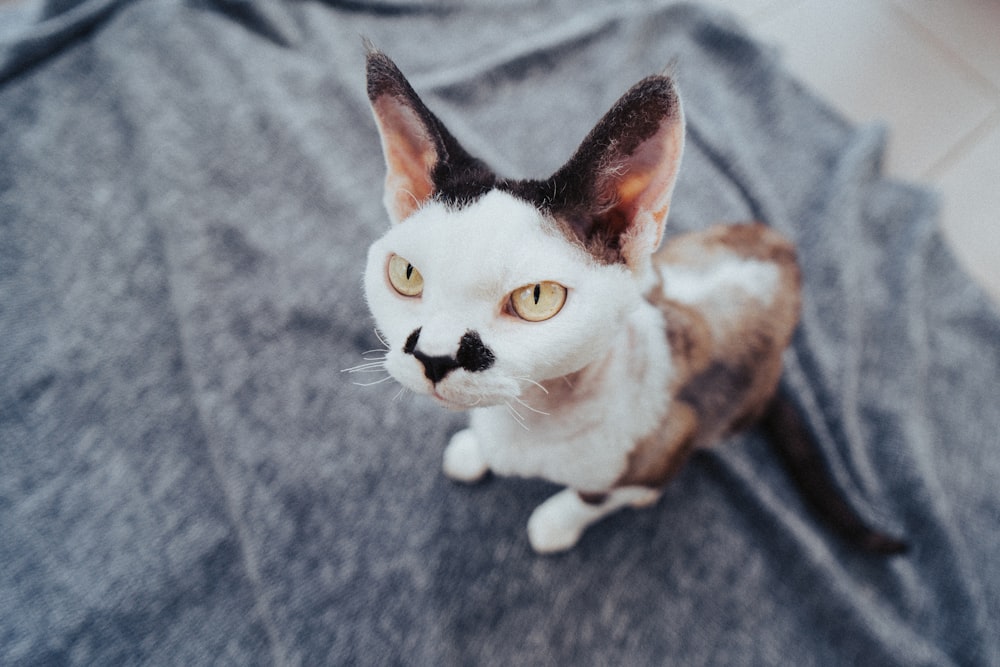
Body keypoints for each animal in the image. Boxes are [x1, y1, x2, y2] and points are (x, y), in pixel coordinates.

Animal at [356, 47, 904, 556]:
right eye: (406, 274)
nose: (434, 356)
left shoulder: (668, 442)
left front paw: (558, 522)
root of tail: (785, 249)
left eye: (537, 298)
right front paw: (474, 449)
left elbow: (596, 496)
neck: (532, 417)